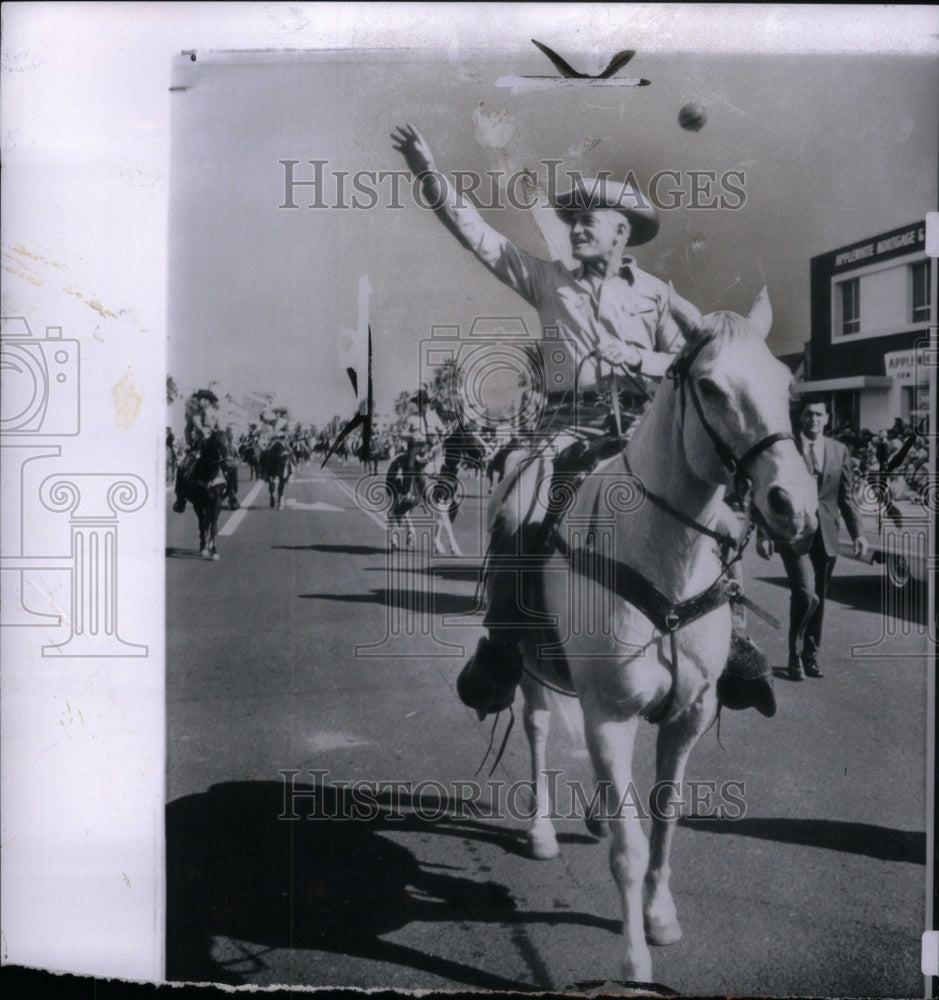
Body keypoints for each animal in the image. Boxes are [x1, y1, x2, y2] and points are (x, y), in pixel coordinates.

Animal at [516, 286, 816, 980]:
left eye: (785, 381)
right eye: (709, 387)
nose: (794, 506)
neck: (661, 554)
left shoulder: (689, 712)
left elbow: (663, 814)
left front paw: (659, 914)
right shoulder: (610, 715)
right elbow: (628, 844)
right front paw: (633, 960)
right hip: (527, 660)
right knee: (538, 725)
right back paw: (542, 829)